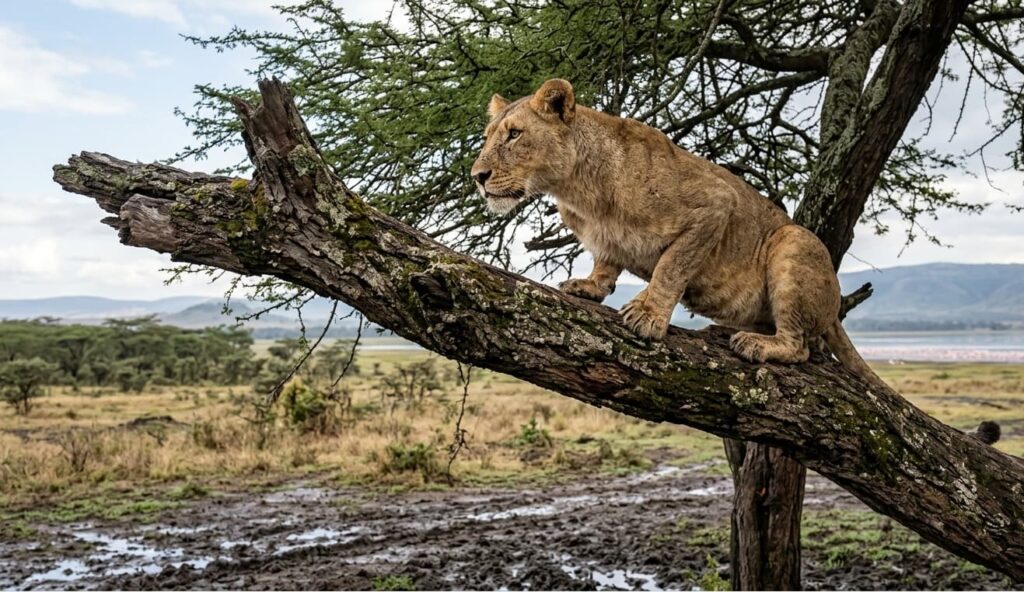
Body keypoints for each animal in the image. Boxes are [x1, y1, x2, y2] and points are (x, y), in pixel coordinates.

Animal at [470, 78, 877, 378]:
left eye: (514, 134)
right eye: (487, 135)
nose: (477, 176)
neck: (578, 189)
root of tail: (835, 303)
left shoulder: (715, 203)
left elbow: (672, 266)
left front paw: (648, 315)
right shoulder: (606, 239)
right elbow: (606, 261)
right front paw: (590, 286)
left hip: (793, 241)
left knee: (801, 346)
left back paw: (757, 343)